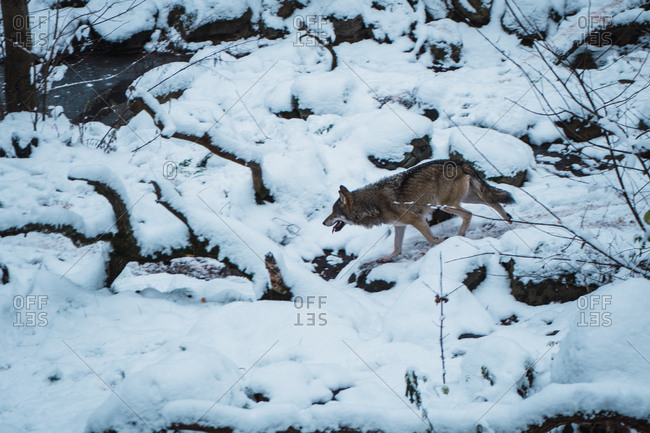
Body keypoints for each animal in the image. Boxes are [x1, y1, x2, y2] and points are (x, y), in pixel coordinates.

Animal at [322, 160, 514, 262]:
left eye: (333, 213)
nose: (324, 222)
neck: (371, 205)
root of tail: (460, 162)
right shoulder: (400, 226)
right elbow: (397, 248)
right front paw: (387, 258)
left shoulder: (416, 220)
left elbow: (429, 238)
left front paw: (441, 241)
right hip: (468, 198)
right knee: (494, 202)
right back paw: (509, 221)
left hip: (446, 205)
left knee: (469, 214)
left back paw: (459, 236)